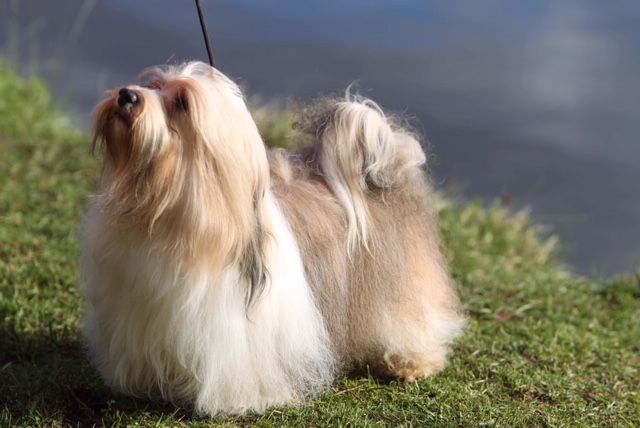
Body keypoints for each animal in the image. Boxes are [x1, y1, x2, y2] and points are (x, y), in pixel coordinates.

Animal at [84, 61, 464, 416]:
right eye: (152, 84)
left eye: (181, 103)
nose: (127, 95)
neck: (167, 212)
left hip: (403, 291)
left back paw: (412, 363)